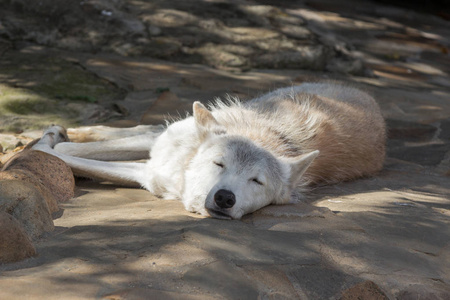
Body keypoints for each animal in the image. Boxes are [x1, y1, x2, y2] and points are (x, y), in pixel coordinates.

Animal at [33, 83, 384, 219]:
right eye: (219, 164)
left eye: (256, 182)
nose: (225, 198)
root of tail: (369, 97)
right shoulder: (158, 159)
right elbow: (64, 150)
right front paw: (43, 140)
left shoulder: (147, 175)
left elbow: (65, 155)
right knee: (139, 130)